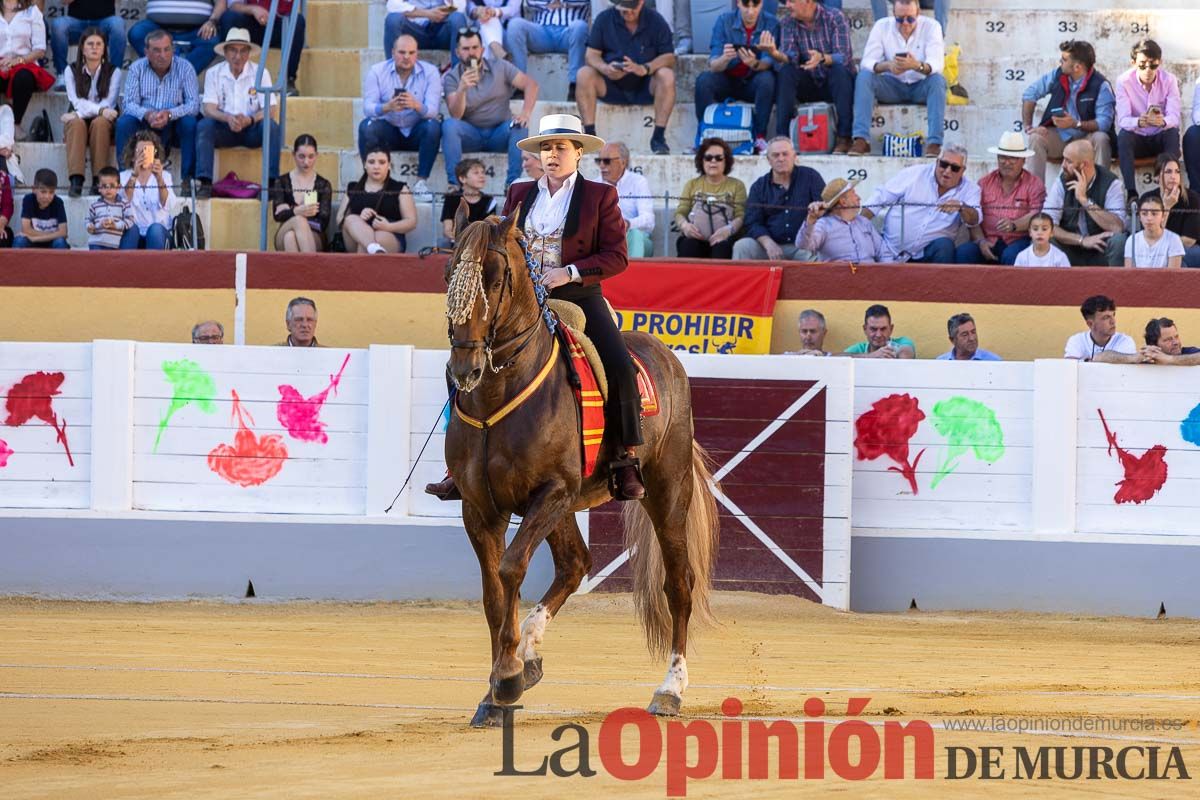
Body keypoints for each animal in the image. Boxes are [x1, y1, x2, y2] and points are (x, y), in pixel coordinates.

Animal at [446, 209, 715, 729]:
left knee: (679, 583)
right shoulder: (480, 507)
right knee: (575, 564)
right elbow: (492, 591)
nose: (465, 368)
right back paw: (531, 654)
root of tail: (667, 358)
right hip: (567, 506)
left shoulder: (551, 491)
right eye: (450, 275)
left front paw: (505, 679)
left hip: (667, 489)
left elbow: (510, 568)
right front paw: (498, 690)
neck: (501, 393)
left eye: (496, 277)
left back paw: (669, 690)